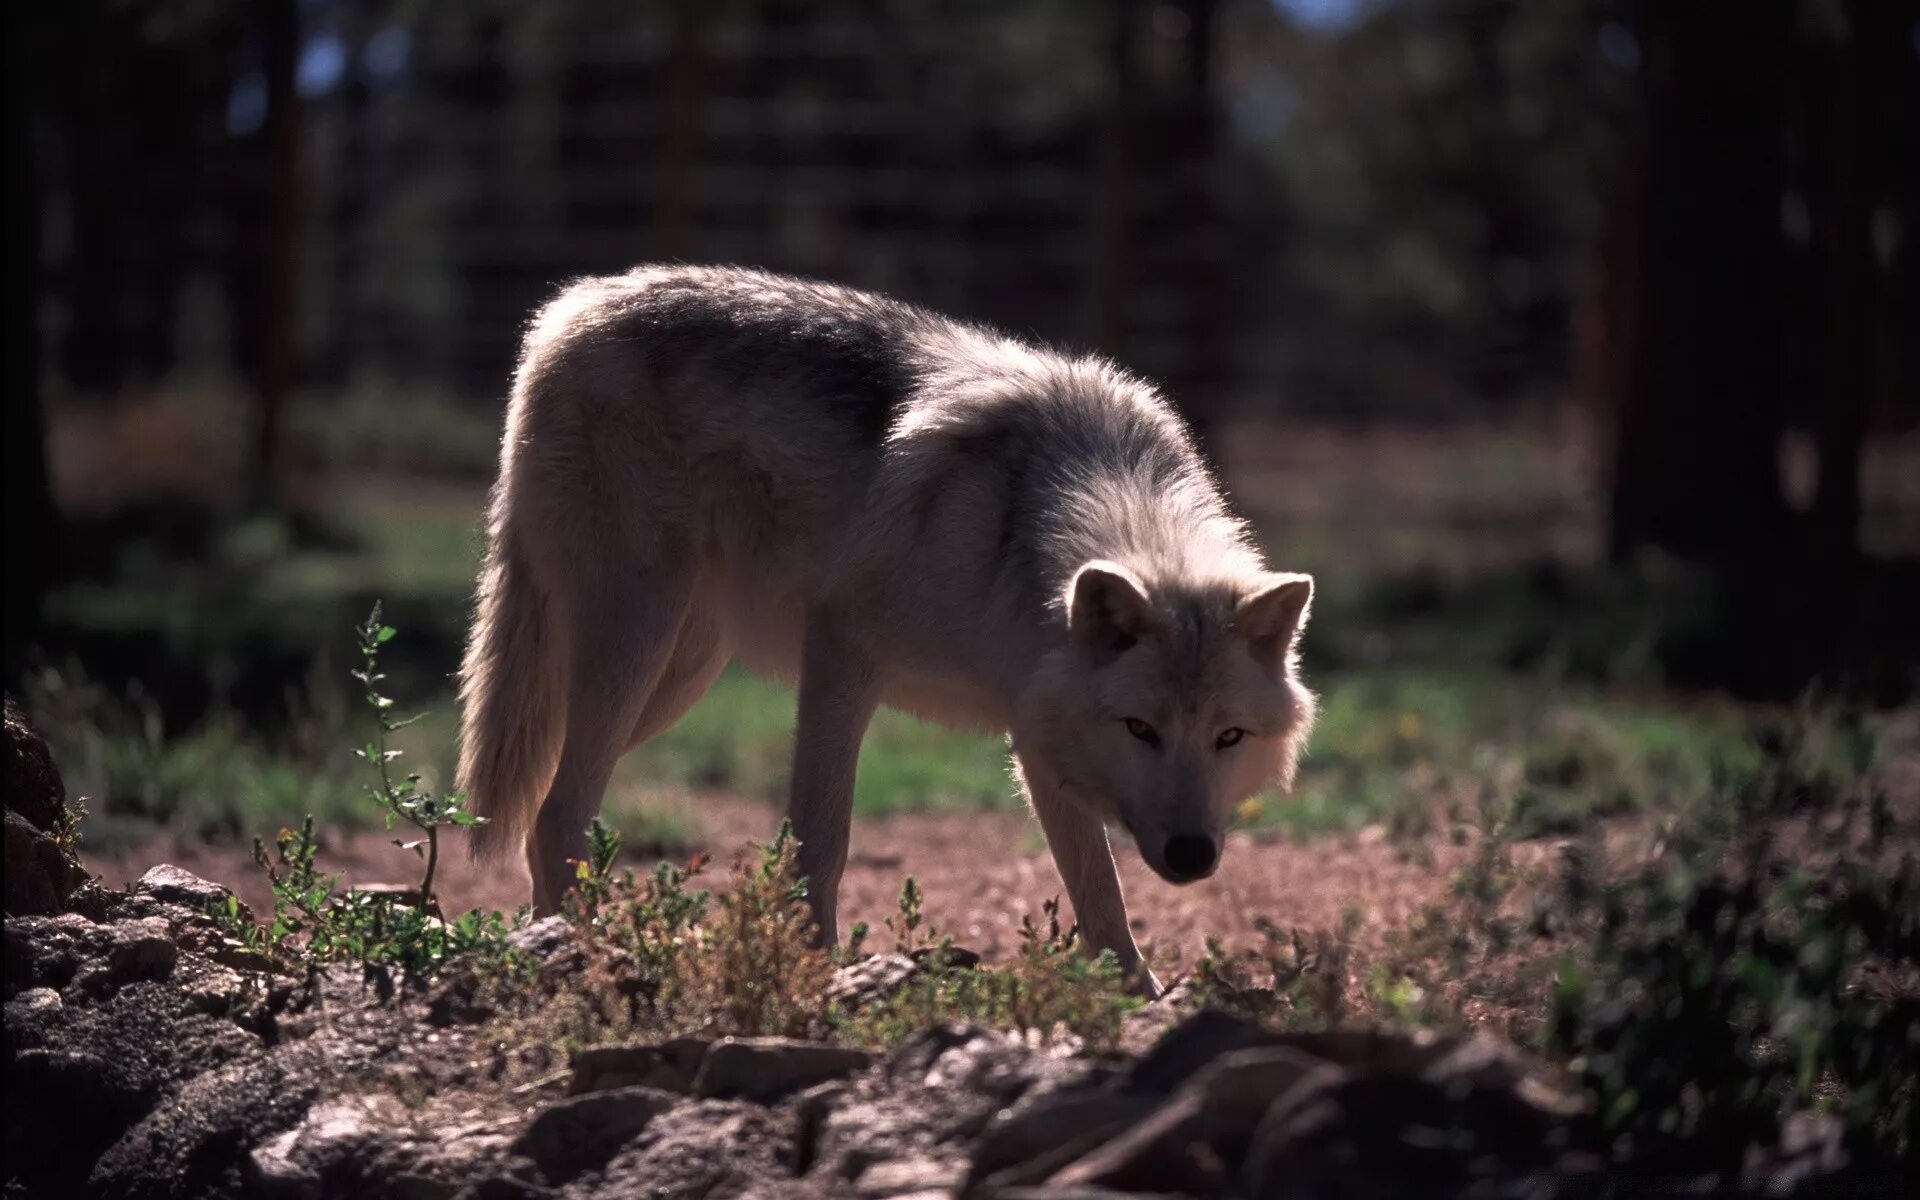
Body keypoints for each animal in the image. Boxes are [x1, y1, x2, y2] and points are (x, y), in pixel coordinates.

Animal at [456, 266, 1313, 990]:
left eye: (1228, 737)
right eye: (1140, 728)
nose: (1192, 855)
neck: (1019, 534)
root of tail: (569, 310)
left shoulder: (1035, 734)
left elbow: (1099, 896)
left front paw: (1139, 1001)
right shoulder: (841, 656)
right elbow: (821, 840)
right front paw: (811, 975)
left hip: (673, 680)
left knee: (543, 807)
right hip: (636, 646)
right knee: (557, 816)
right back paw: (572, 957)